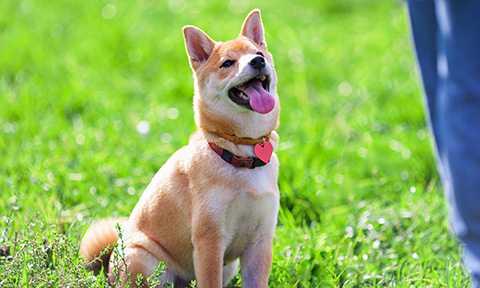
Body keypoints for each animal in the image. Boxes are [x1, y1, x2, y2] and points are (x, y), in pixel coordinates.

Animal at [80, 9, 280, 288]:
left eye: (259, 53)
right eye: (228, 63)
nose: (258, 62)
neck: (240, 153)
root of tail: (109, 268)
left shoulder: (260, 242)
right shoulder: (209, 240)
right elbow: (210, 281)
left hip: (227, 268)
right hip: (148, 263)